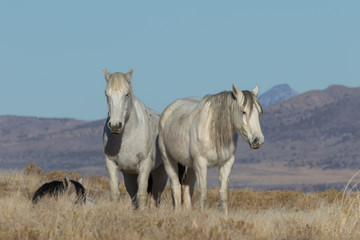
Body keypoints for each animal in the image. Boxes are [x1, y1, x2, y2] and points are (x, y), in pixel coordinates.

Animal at [102, 67, 167, 208]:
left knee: (156, 198)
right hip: (130, 175)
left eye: (126, 94)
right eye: (106, 94)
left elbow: (142, 195)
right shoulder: (111, 164)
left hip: (160, 173)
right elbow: (115, 194)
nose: (115, 125)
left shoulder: (145, 166)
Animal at [159, 84, 262, 214]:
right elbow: (202, 192)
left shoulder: (227, 163)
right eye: (244, 111)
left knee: (187, 186)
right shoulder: (201, 164)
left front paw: (225, 216)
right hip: (169, 160)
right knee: (176, 186)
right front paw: (202, 215)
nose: (257, 140)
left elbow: (224, 193)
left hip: (191, 165)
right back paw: (177, 212)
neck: (213, 131)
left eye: (259, 112)